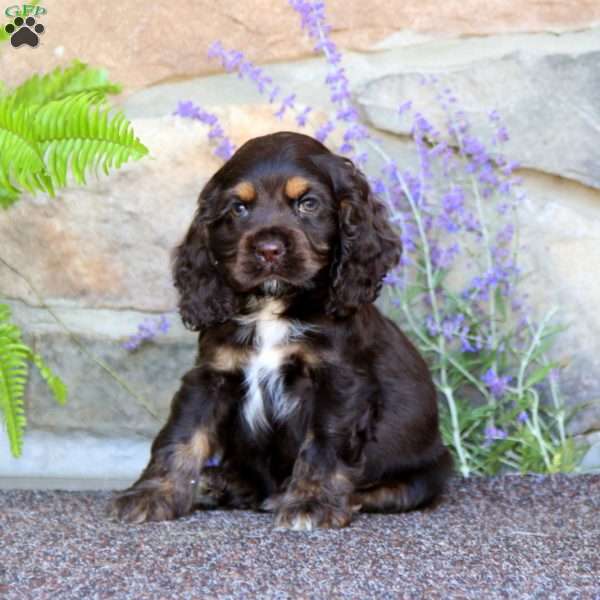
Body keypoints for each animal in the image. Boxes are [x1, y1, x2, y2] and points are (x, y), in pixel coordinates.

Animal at [111, 130, 450, 528]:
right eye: (238, 209)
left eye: (308, 204)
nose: (268, 249)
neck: (273, 307)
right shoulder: (212, 374)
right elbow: (181, 435)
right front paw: (152, 494)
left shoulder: (339, 381)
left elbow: (324, 442)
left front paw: (312, 503)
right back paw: (221, 483)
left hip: (427, 471)